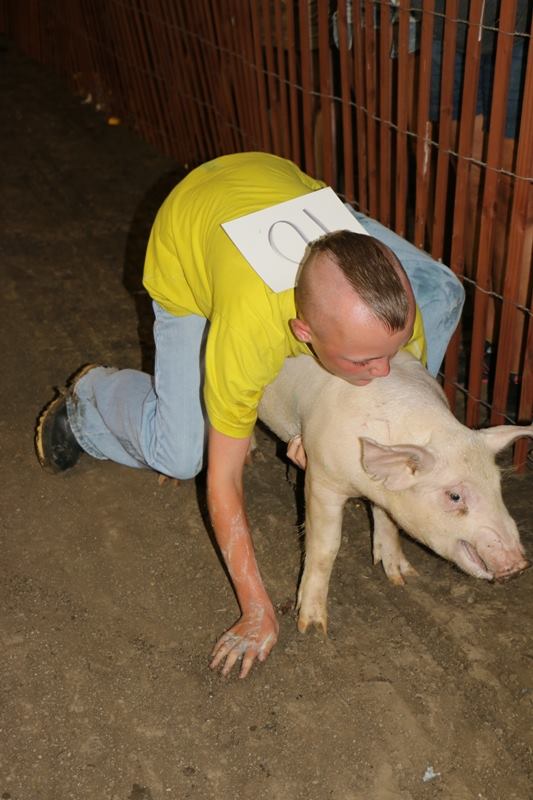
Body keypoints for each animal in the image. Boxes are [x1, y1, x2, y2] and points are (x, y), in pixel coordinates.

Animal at [258, 351, 531, 634]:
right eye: (454, 496)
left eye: (497, 485)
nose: (520, 565)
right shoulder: (322, 476)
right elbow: (326, 546)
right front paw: (312, 627)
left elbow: (389, 523)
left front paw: (403, 578)